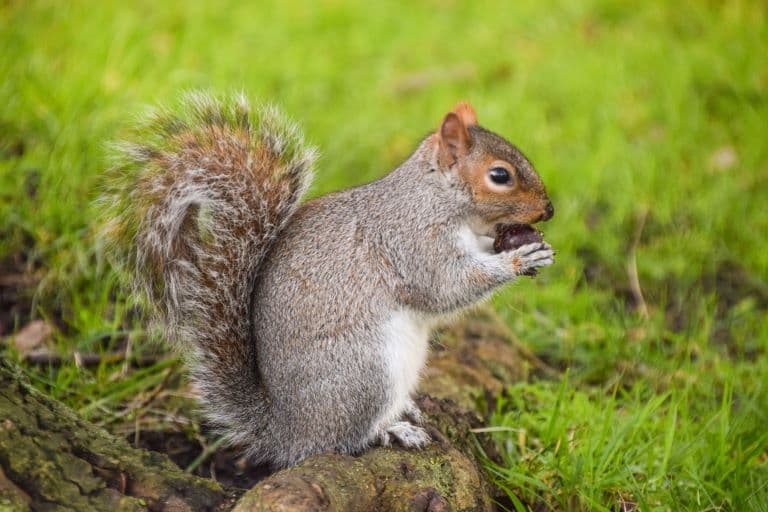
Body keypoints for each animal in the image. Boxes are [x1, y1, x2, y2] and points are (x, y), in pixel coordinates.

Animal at [101, 92, 555, 468]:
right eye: (500, 176)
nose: (549, 210)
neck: (436, 196)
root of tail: (286, 431)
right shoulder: (412, 239)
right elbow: (445, 287)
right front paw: (518, 259)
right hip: (365, 371)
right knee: (341, 440)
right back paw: (391, 429)